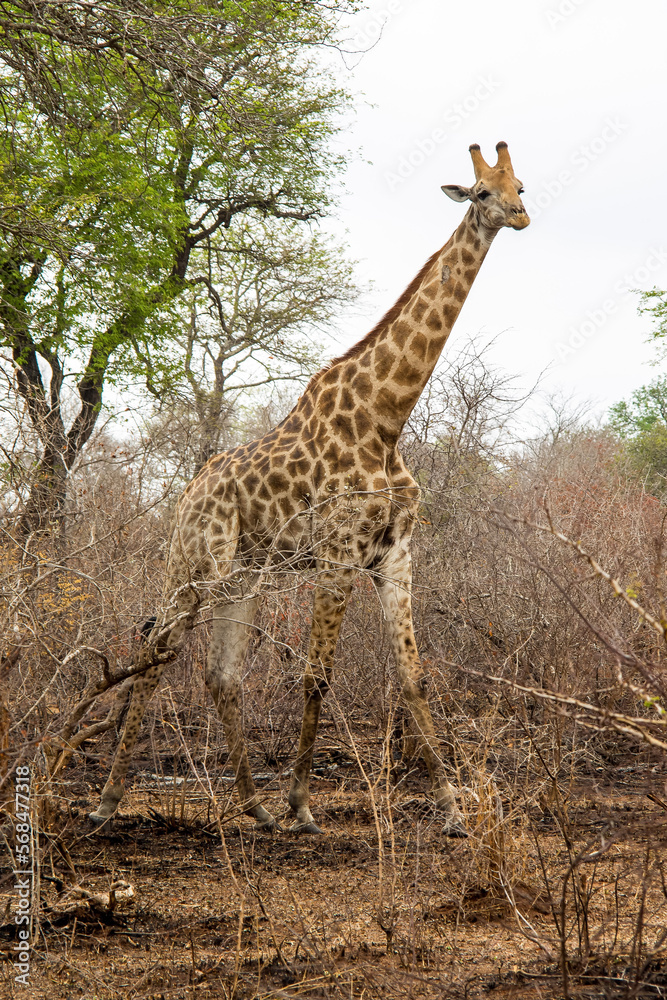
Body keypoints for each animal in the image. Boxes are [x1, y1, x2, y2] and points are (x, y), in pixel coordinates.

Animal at [89, 141, 529, 835]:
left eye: (521, 185)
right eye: (483, 192)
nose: (520, 216)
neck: (386, 417)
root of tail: (186, 494)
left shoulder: (395, 554)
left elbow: (414, 679)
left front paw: (454, 810)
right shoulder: (338, 554)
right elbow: (317, 678)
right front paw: (300, 804)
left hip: (243, 576)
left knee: (221, 674)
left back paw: (253, 807)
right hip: (194, 563)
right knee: (156, 653)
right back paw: (107, 802)